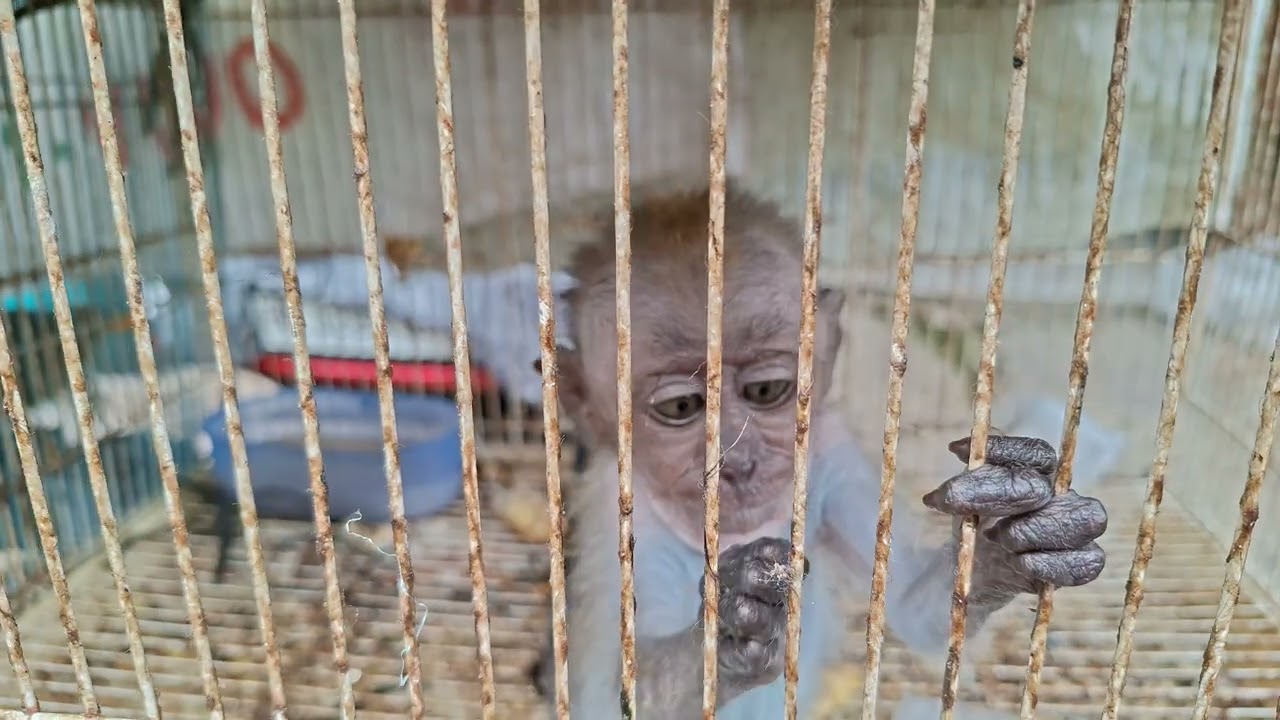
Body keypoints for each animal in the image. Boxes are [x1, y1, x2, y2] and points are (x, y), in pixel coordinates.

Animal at [530, 182, 1109, 719]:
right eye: (681, 407)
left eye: (766, 391)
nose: (738, 465)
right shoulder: (617, 512)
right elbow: (624, 691)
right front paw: (727, 632)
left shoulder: (832, 455)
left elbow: (912, 608)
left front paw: (1007, 540)